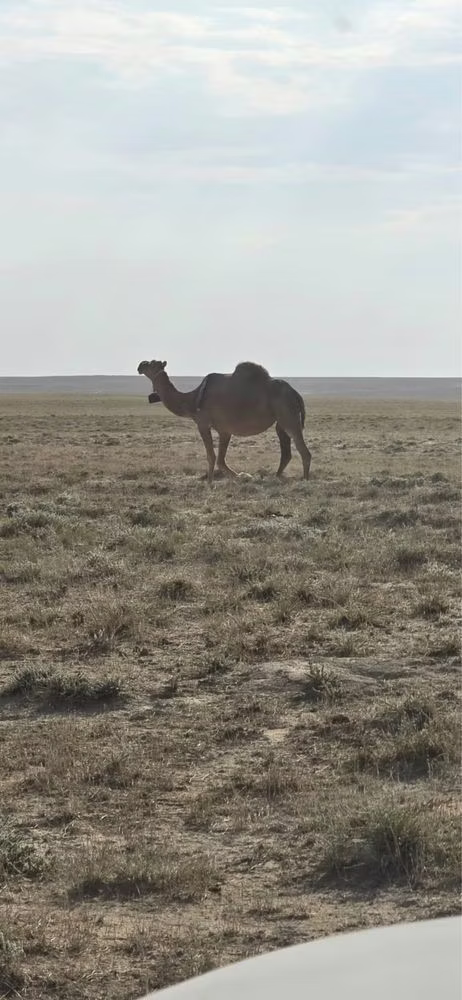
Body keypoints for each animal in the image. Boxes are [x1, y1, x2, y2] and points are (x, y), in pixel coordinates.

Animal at [137, 359, 311, 484]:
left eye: (152, 363)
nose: (140, 365)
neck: (192, 400)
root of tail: (295, 393)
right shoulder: (224, 430)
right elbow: (221, 460)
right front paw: (243, 476)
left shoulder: (203, 424)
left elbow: (212, 456)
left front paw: (211, 483)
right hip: (281, 421)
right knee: (286, 450)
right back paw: (277, 476)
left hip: (288, 415)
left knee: (303, 450)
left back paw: (305, 480)